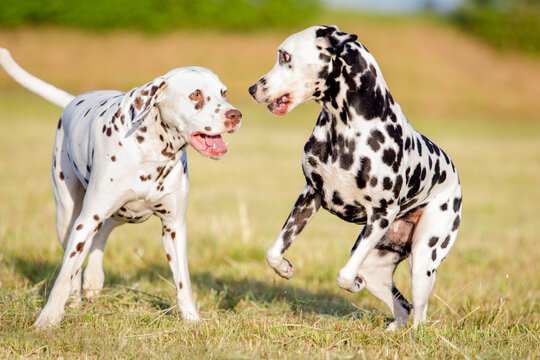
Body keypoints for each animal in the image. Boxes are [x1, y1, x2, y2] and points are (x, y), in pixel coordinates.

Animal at [0, 48, 240, 330]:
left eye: (224, 92)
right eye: (196, 95)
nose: (235, 115)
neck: (152, 152)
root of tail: (73, 100)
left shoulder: (174, 227)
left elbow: (183, 282)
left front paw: (192, 318)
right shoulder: (85, 221)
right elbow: (65, 274)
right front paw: (48, 318)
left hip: (126, 214)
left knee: (101, 236)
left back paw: (93, 280)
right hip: (67, 216)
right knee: (76, 258)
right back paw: (75, 296)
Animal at [249, 24, 460, 330]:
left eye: (285, 56)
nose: (253, 89)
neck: (346, 128)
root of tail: (454, 176)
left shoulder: (381, 215)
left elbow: (345, 275)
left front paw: (352, 284)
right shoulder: (310, 195)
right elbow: (273, 251)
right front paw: (284, 268)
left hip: (423, 261)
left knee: (419, 316)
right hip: (376, 268)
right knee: (403, 307)